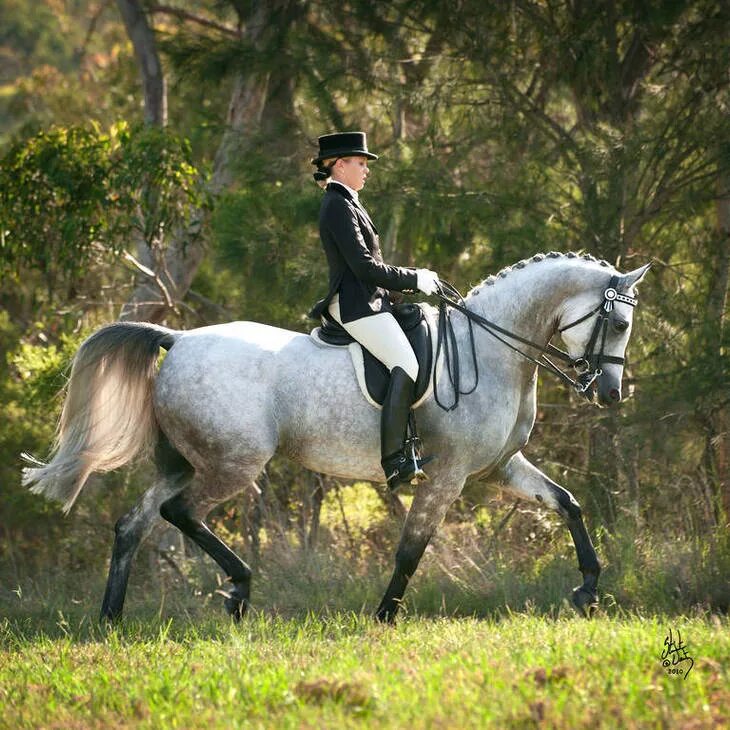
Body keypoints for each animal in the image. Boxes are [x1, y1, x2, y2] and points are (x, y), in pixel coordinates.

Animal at [22, 250, 648, 620]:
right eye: (618, 322)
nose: (611, 394)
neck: (493, 350)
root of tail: (177, 339)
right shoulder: (448, 474)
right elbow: (411, 548)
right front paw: (384, 617)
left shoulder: (499, 467)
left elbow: (567, 504)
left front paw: (588, 589)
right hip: (233, 464)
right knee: (181, 513)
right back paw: (240, 589)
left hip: (187, 461)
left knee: (134, 523)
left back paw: (111, 618)